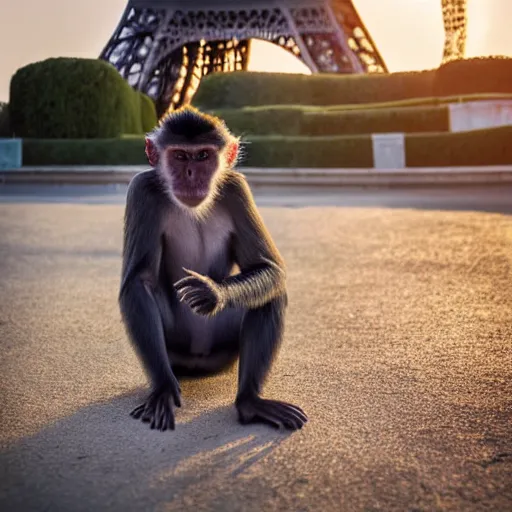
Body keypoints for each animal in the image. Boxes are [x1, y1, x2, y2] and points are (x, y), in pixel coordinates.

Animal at [118, 105, 306, 432]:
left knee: (271, 294)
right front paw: (163, 388)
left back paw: (250, 402)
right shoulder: (142, 189)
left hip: (223, 353)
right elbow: (139, 282)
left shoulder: (236, 188)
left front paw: (213, 292)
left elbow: (268, 268)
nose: (191, 175)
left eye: (203, 155)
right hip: (175, 348)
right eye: (180, 156)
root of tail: (199, 362)